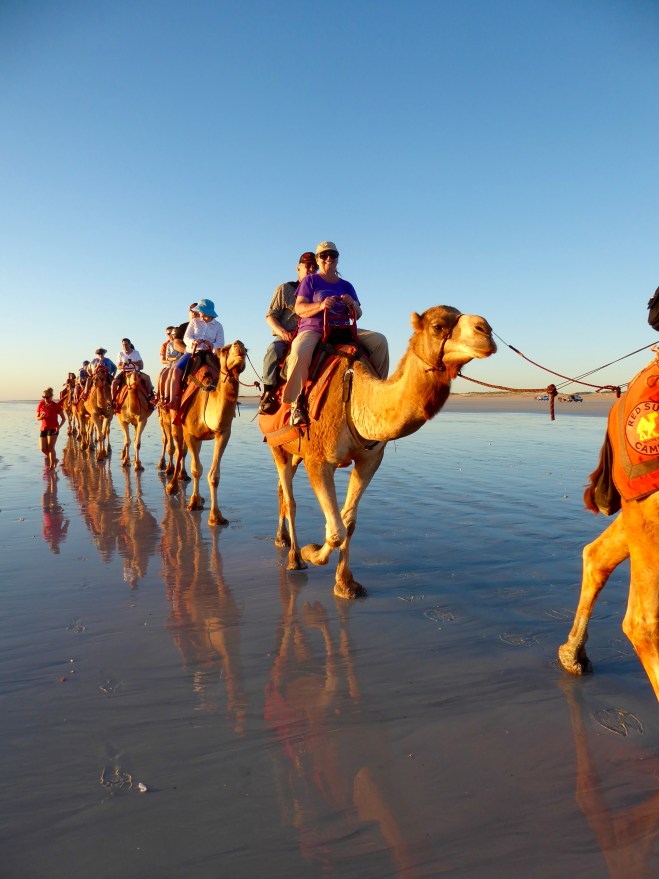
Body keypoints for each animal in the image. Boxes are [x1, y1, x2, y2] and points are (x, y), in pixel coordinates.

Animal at [166, 341, 247, 526]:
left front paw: (216, 516)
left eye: (246, 350)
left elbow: (214, 475)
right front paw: (194, 503)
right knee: (179, 451)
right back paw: (172, 486)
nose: (239, 345)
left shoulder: (223, 433)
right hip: (175, 422)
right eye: (224, 350)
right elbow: (196, 469)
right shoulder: (190, 433)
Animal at [266, 305, 496, 599]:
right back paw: (294, 557)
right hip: (277, 446)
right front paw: (310, 552)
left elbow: (348, 522)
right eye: (437, 326)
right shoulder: (319, 460)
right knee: (290, 499)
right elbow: (336, 530)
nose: (485, 330)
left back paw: (282, 539)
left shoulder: (369, 460)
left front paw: (345, 583)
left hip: (295, 452)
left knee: (282, 490)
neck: (355, 397)